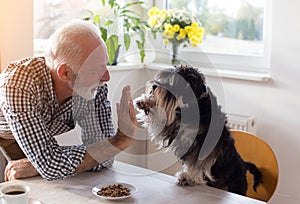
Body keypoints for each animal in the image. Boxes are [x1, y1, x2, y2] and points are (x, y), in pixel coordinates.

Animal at [135, 65, 262, 196]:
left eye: (174, 81)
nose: (154, 86)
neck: (195, 105)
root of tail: (244, 165)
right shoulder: (173, 128)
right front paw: (144, 102)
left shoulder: (204, 145)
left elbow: (197, 164)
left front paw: (187, 178)